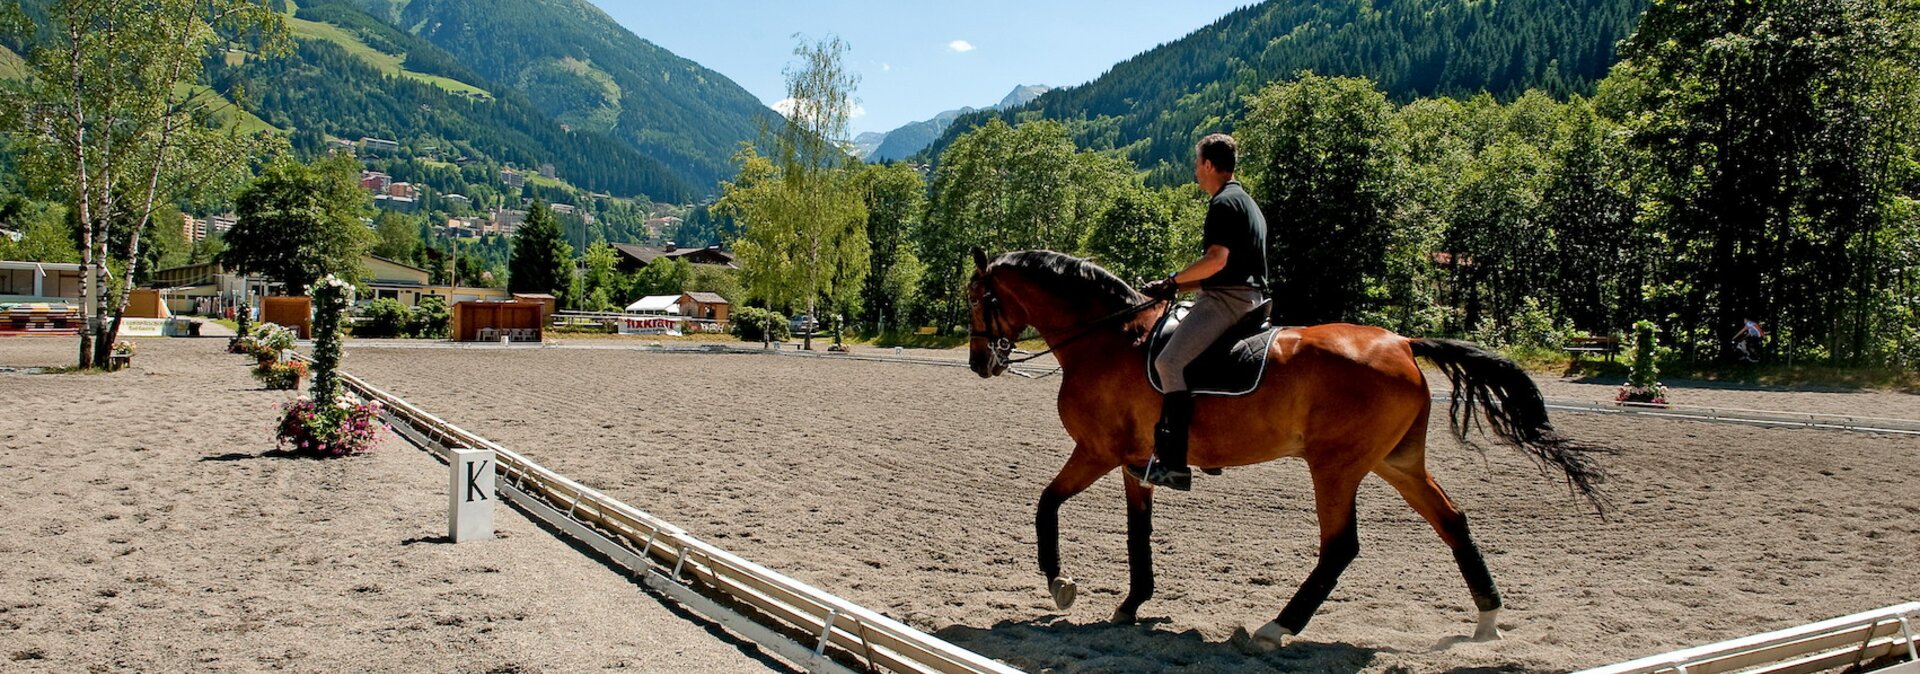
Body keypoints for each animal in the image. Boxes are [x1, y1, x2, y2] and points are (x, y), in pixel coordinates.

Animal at [960, 251, 1605, 652]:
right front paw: (1132, 604)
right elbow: (1137, 532)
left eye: (976, 297)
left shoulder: (1096, 451)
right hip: (1396, 463)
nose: (978, 363)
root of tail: (1402, 341)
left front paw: (1059, 583)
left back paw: (1275, 628)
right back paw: (1487, 618)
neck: (1108, 337)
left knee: (1340, 546)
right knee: (1453, 522)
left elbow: (1045, 504)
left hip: (1336, 466)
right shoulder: (1132, 462)